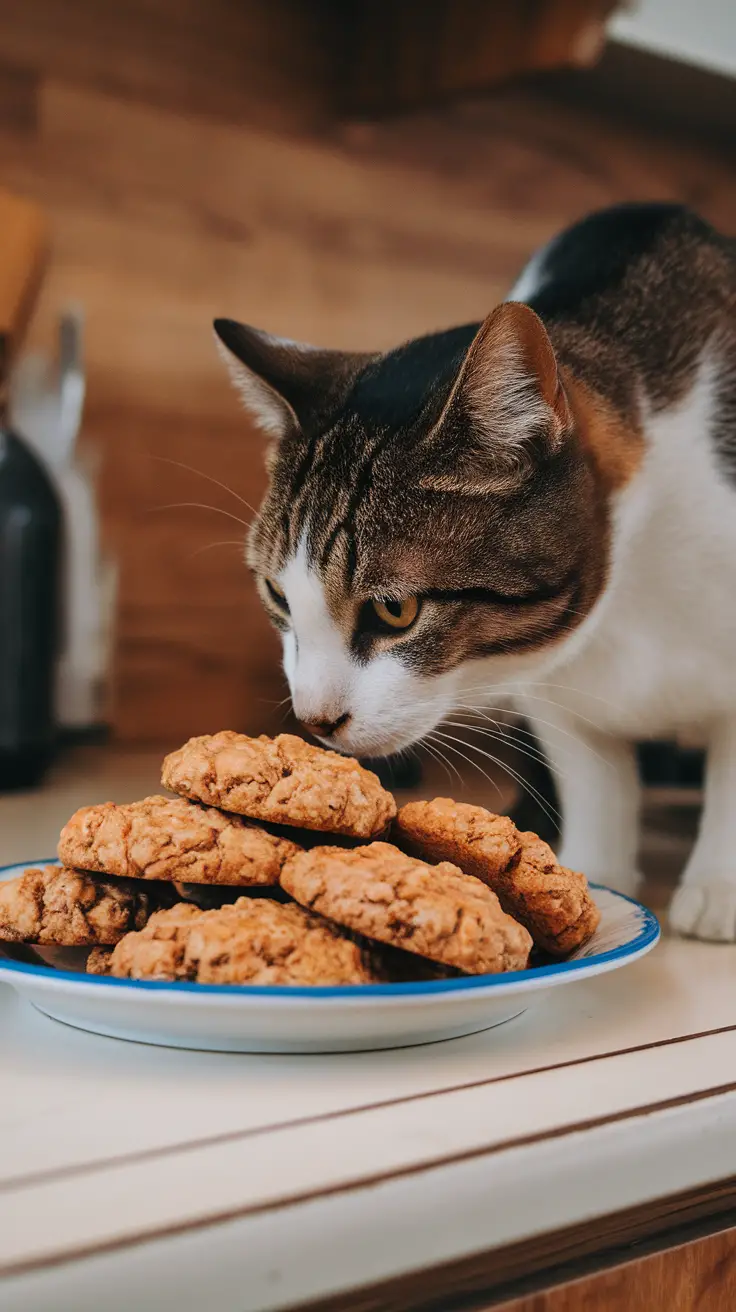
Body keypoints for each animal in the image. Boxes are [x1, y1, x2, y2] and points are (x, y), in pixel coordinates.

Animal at [212, 202, 734, 944]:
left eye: (395, 609)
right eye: (278, 594)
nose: (315, 720)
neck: (629, 602)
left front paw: (719, 886)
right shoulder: (555, 689)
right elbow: (596, 779)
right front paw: (593, 880)